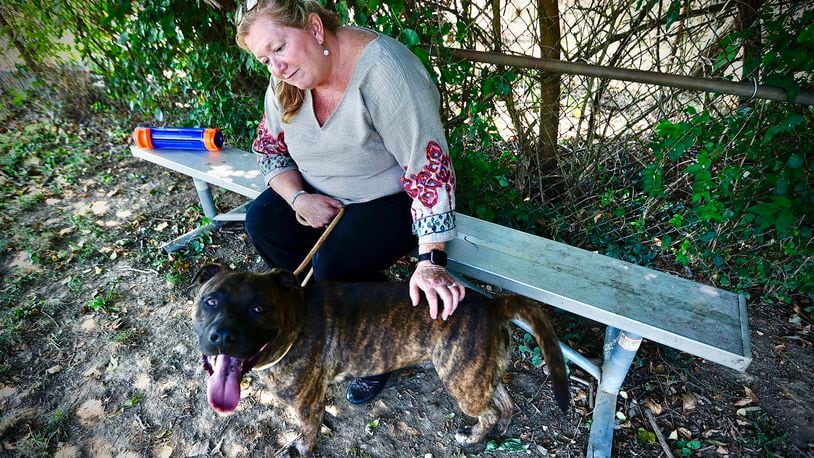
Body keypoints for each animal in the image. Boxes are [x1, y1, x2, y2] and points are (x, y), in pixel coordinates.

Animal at [194, 262, 572, 456]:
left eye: (258, 309)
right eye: (211, 301)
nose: (222, 336)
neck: (293, 321)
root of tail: (492, 305)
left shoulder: (308, 404)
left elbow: (309, 431)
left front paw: (303, 447)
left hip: (462, 381)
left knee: (489, 410)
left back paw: (474, 437)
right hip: (480, 375)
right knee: (505, 403)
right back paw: (500, 431)